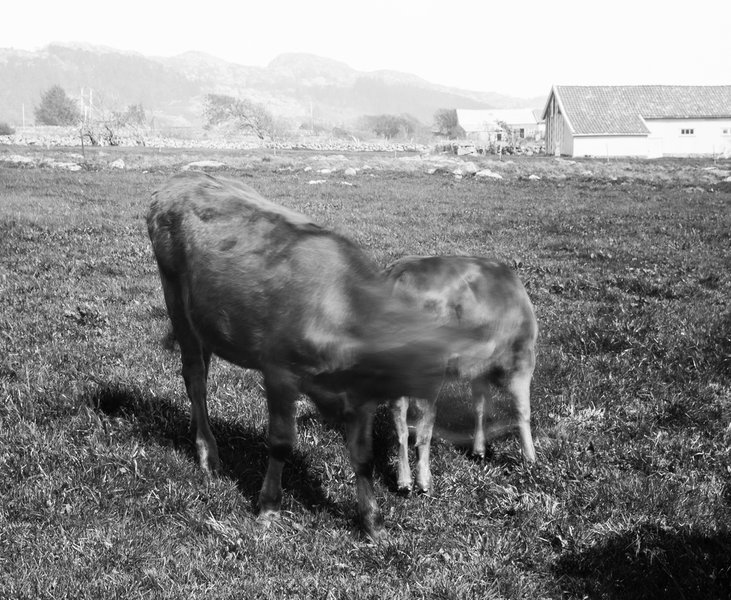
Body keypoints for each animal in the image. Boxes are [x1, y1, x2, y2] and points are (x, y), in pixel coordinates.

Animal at [145, 172, 481, 538]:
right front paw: (269, 507)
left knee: (200, 373)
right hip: (175, 299)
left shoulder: (360, 398)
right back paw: (208, 454)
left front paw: (373, 522)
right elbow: (280, 441)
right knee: (195, 378)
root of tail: (183, 179)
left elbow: (363, 456)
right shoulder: (279, 373)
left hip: (203, 318)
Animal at [384, 255, 538, 495]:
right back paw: (424, 482)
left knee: (400, 423)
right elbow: (523, 411)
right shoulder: (520, 361)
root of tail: (401, 269)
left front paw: (479, 450)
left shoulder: (478, 369)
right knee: (424, 426)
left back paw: (404, 481)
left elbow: (480, 406)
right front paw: (530, 459)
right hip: (429, 370)